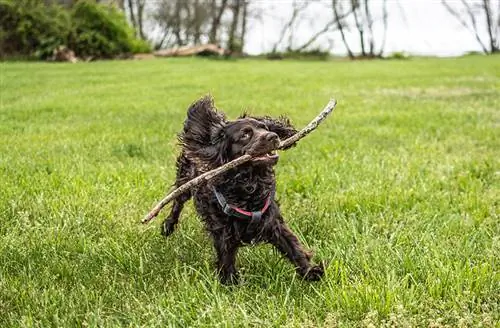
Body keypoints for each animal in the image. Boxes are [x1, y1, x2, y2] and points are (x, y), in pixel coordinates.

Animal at [162, 95, 326, 284]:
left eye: (264, 127)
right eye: (245, 134)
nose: (273, 136)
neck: (248, 185)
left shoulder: (271, 219)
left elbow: (293, 246)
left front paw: (310, 271)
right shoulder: (223, 230)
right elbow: (226, 257)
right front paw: (230, 282)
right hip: (185, 179)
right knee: (177, 202)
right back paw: (168, 225)